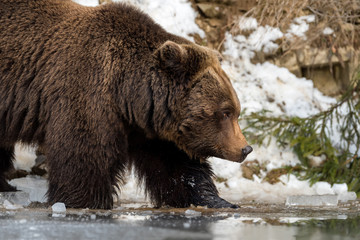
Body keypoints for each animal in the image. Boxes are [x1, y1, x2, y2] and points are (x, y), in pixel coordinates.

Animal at [0, 0, 253, 209]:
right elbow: (83, 158)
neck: (129, 96)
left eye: (235, 111)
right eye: (225, 112)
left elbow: (177, 167)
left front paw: (219, 202)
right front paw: (86, 202)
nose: (245, 148)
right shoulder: (87, 95)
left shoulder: (151, 129)